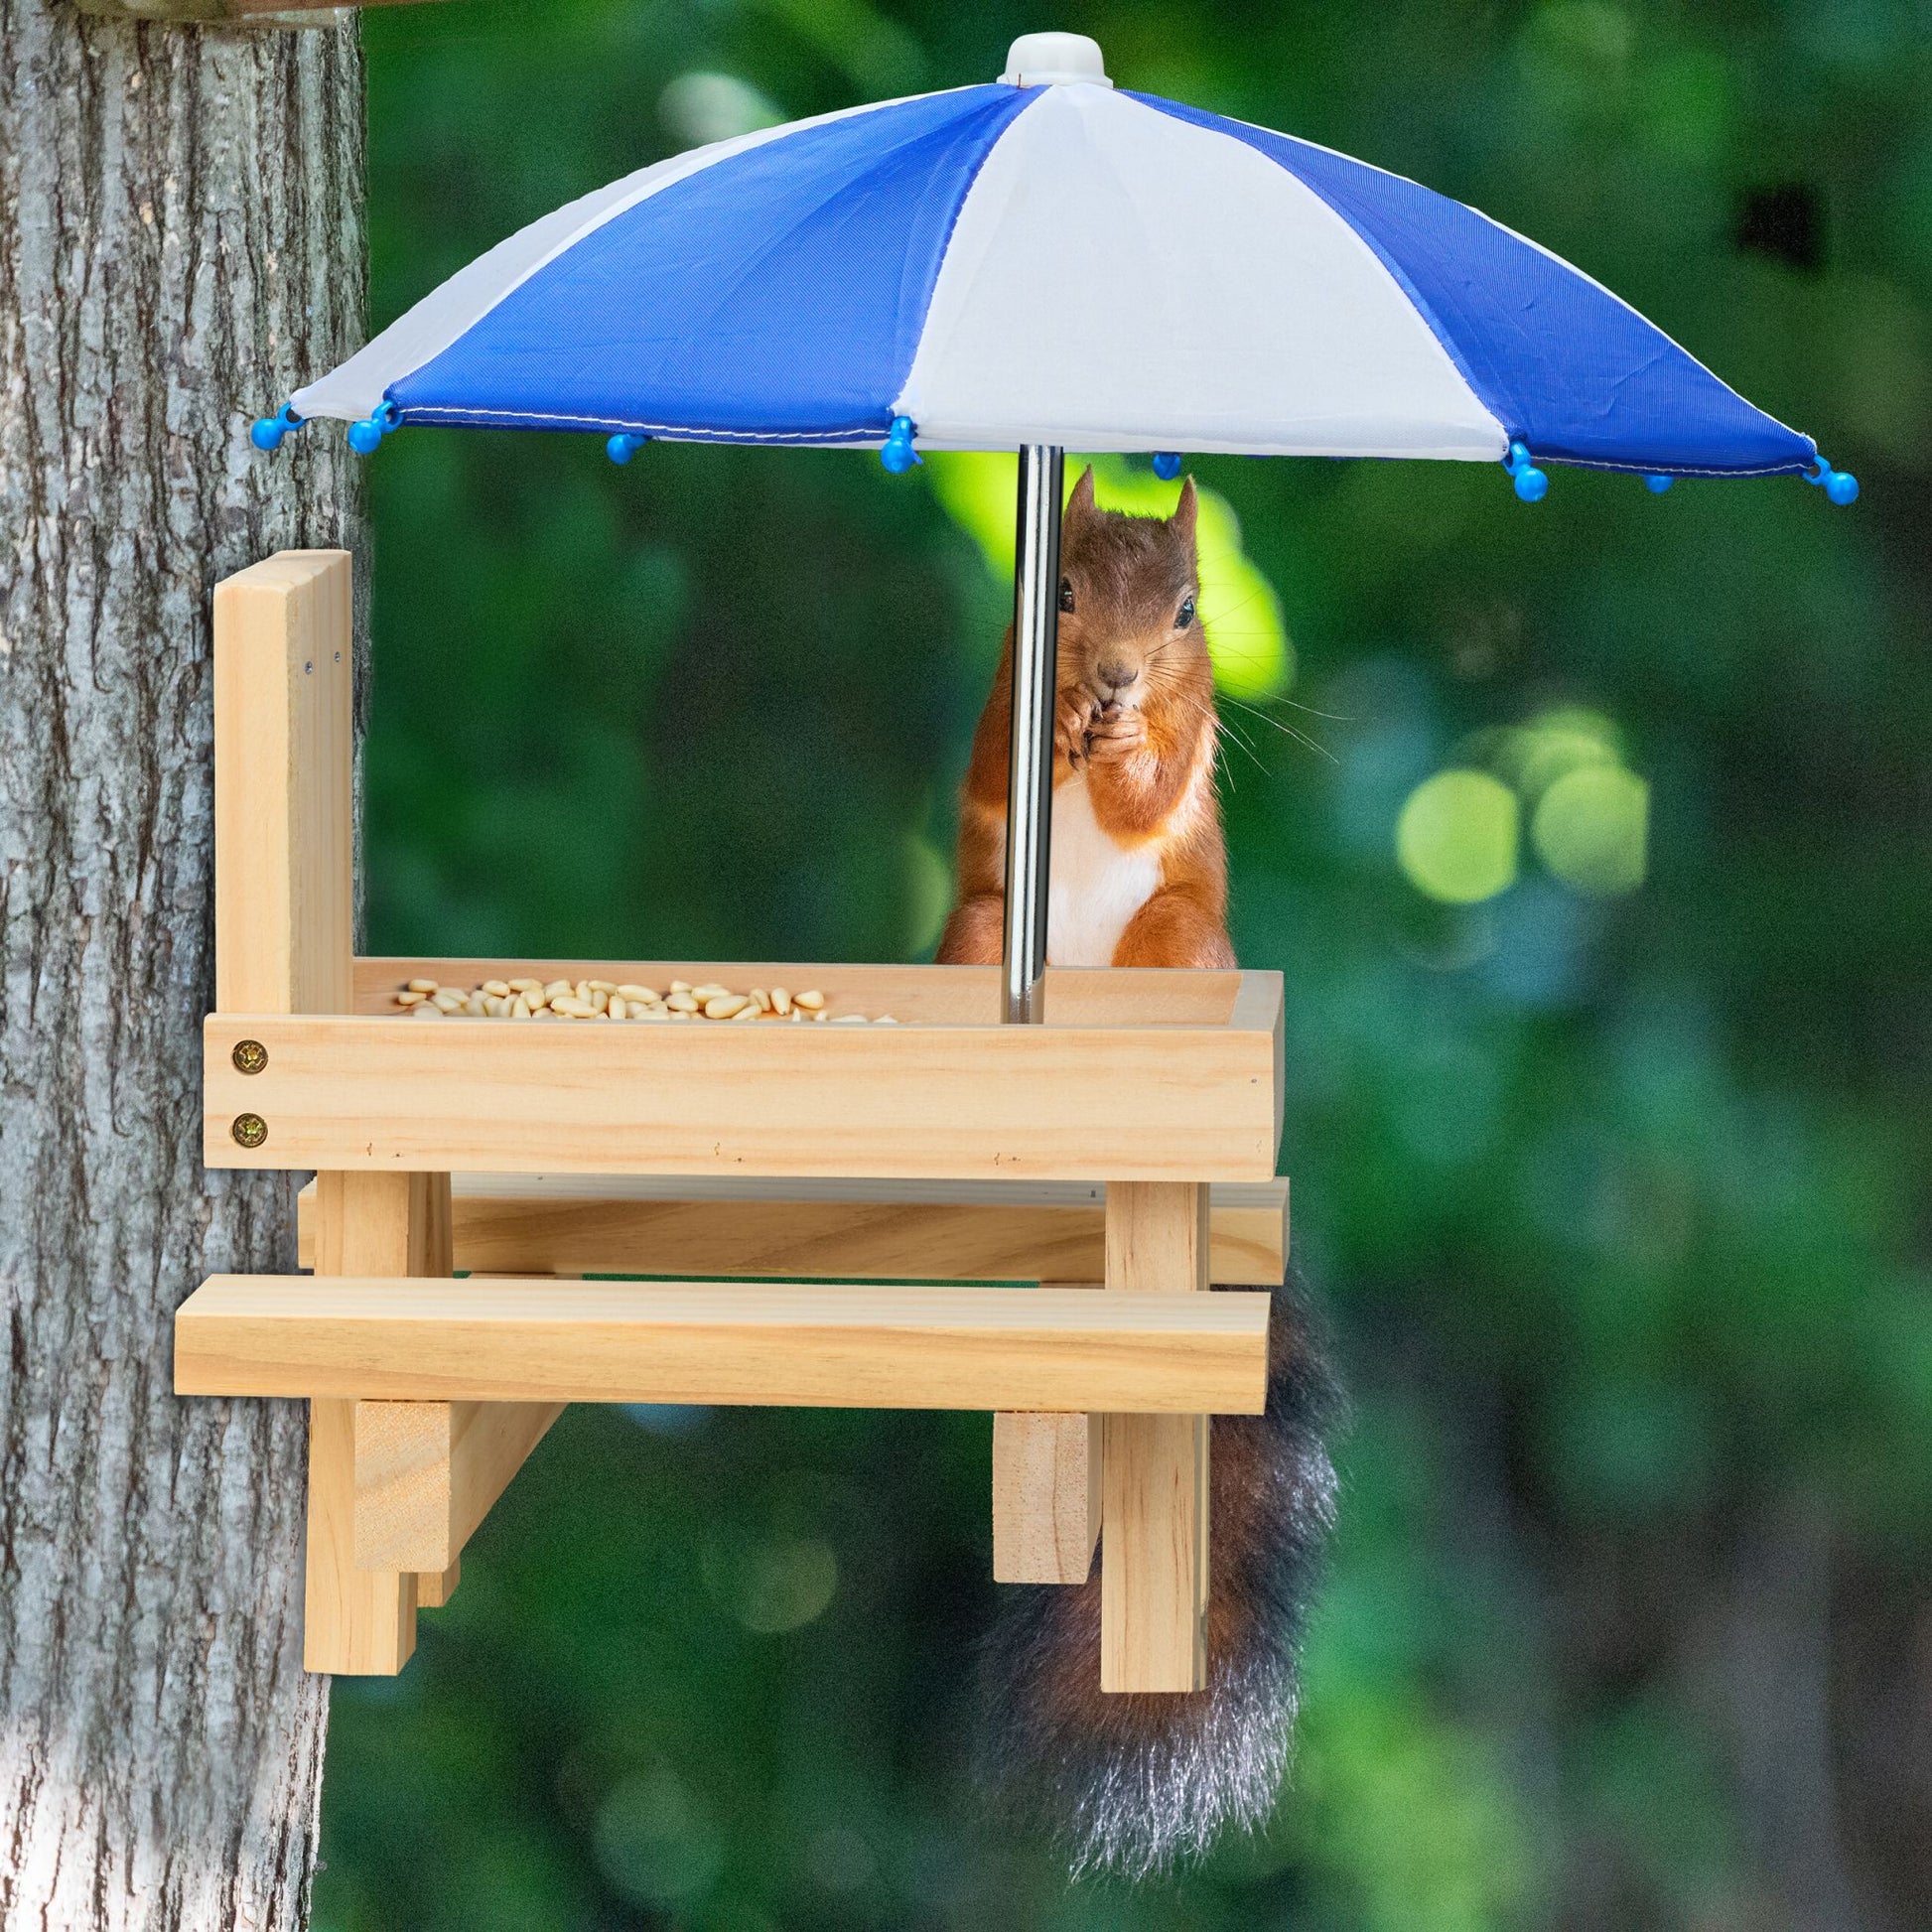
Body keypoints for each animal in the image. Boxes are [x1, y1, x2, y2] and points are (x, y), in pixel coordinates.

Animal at [938, 468, 1345, 1876]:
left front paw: (1115, 756)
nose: (1110, 677)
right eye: (1054, 587)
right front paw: (1062, 722)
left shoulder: (1195, 732)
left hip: (1181, 939)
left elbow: (1154, 789)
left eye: (1184, 610)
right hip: (975, 933)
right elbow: (998, 749)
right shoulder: (996, 693)